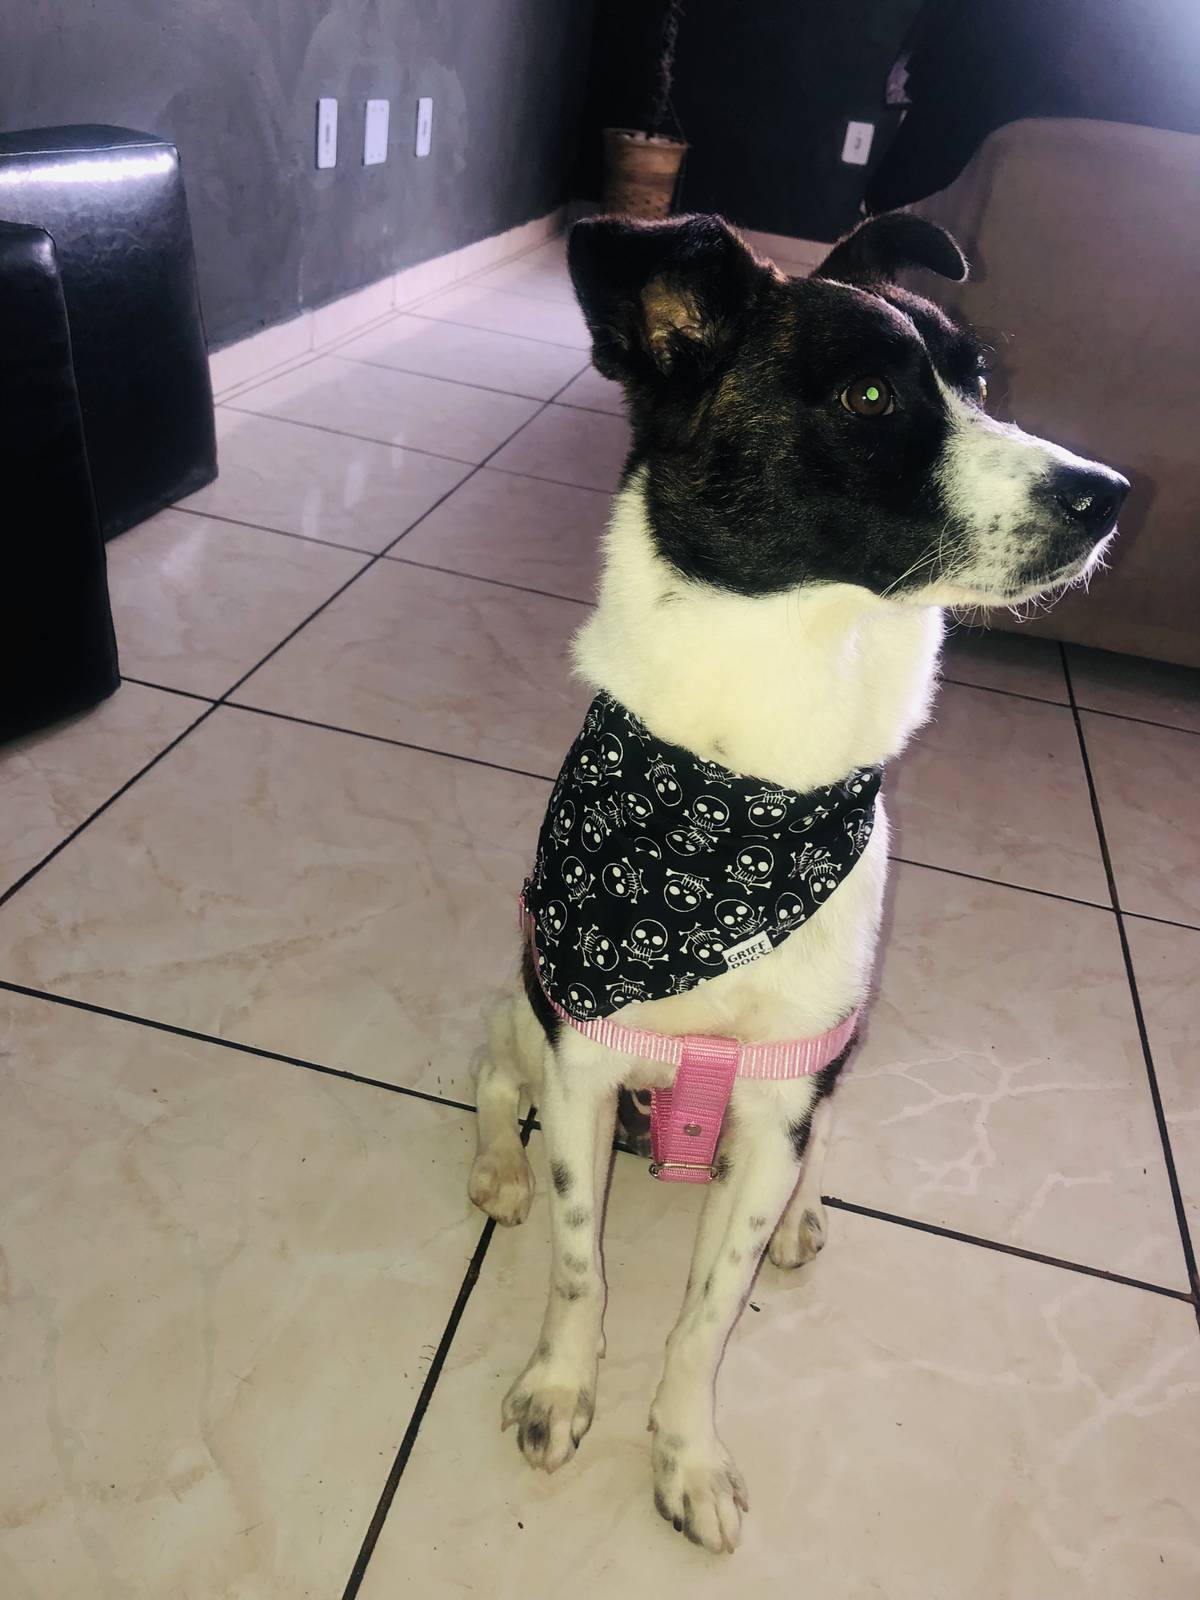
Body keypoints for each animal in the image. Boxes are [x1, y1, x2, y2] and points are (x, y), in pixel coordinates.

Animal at [467, 210, 1128, 1554]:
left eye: (980, 379)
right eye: (869, 395)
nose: (1111, 497)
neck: (746, 786)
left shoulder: (778, 1095)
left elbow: (704, 1314)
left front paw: (685, 1453)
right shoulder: (582, 1054)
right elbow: (577, 1261)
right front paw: (561, 1385)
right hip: (518, 998)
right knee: (489, 1080)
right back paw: (498, 1166)